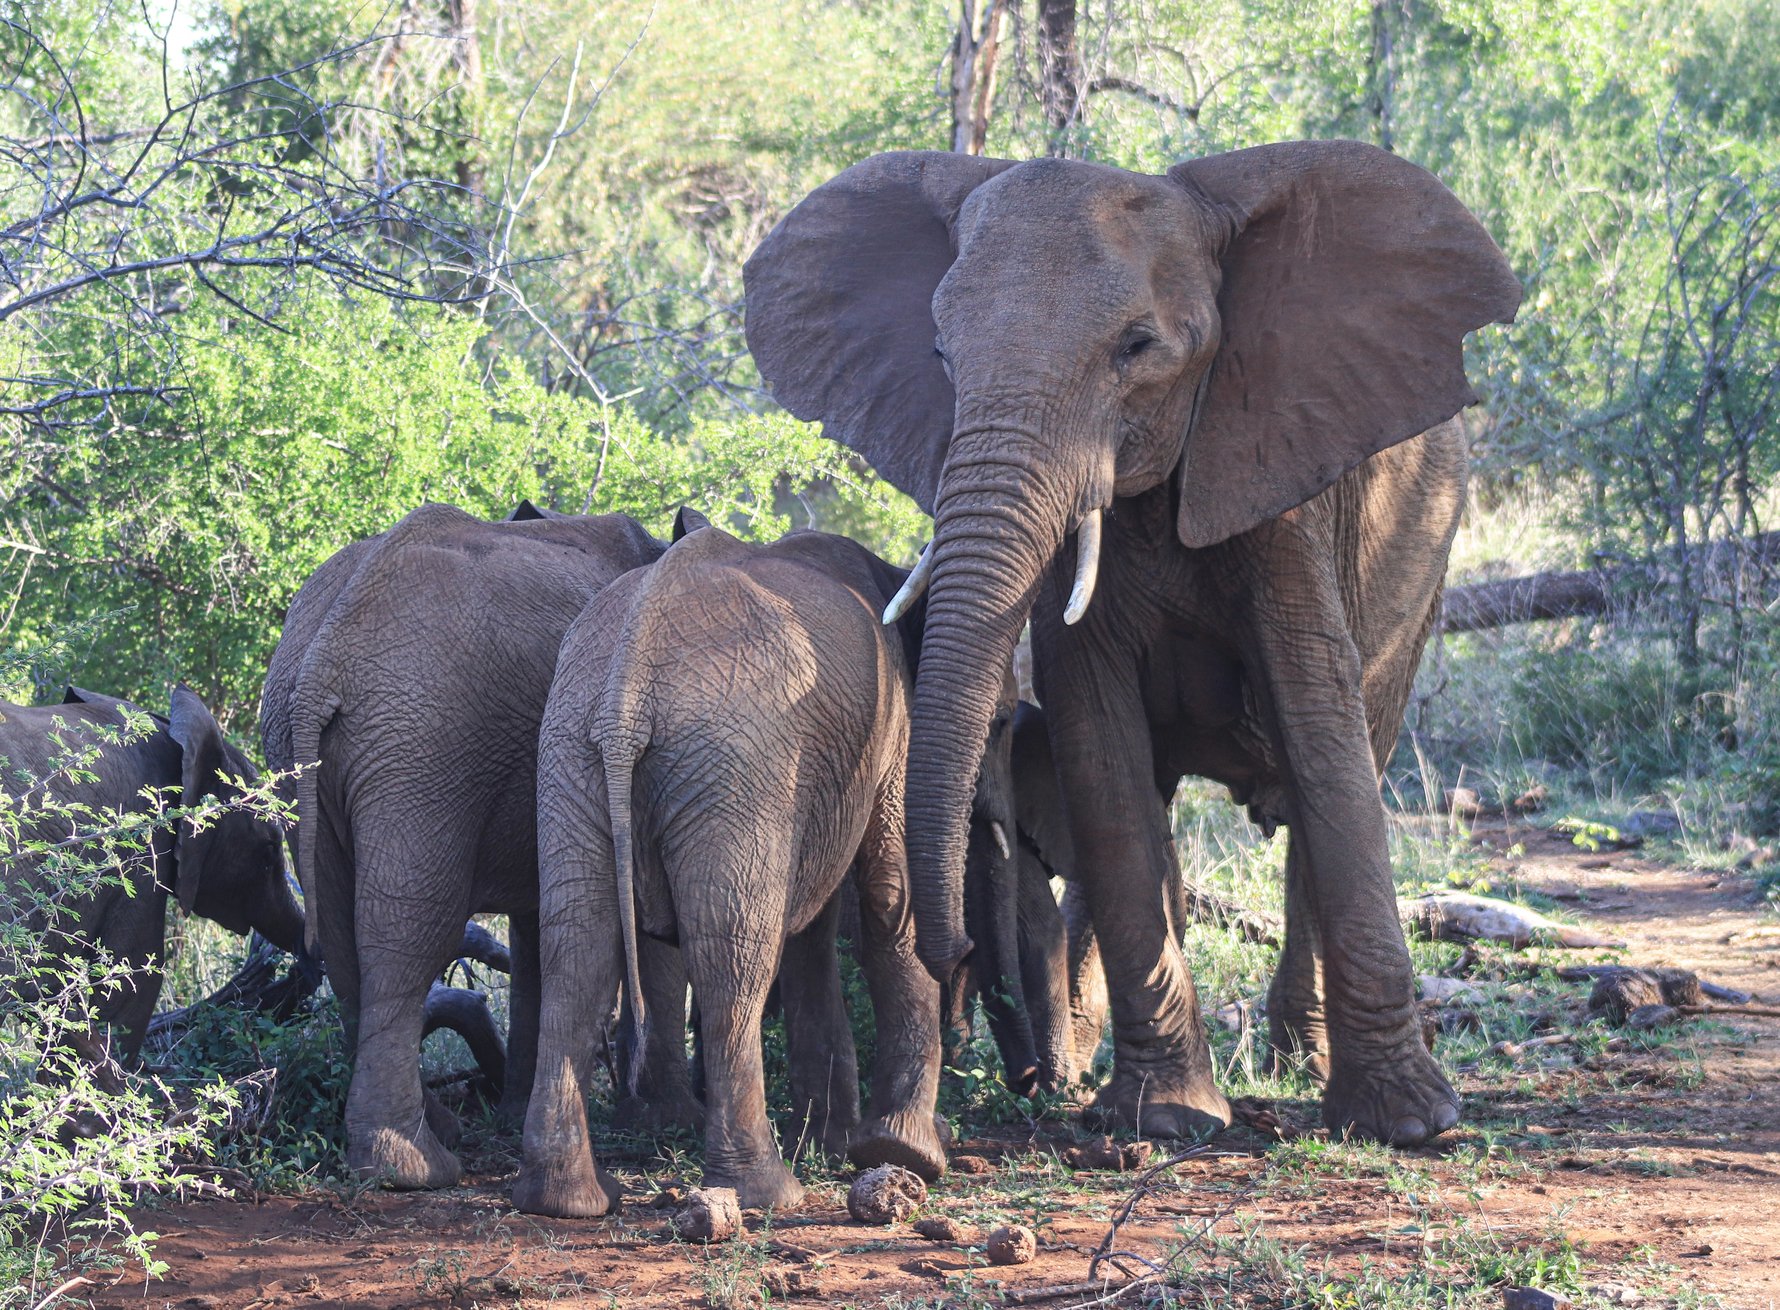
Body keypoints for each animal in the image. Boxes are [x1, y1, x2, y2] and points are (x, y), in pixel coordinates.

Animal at [259, 498, 704, 1188]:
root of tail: (320, 662)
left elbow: (538, 928)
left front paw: (517, 1114)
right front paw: (668, 1124)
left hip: (304, 744)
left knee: (336, 933)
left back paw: (434, 1133)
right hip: (421, 744)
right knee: (407, 934)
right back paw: (414, 1167)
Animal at [736, 143, 1516, 1146]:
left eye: (1138, 348)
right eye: (941, 352)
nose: (952, 950)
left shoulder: (1283, 474)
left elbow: (1316, 717)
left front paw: (1410, 1126)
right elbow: (1098, 745)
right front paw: (1163, 1122)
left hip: (1426, 557)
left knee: (1341, 771)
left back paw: (1299, 1062)